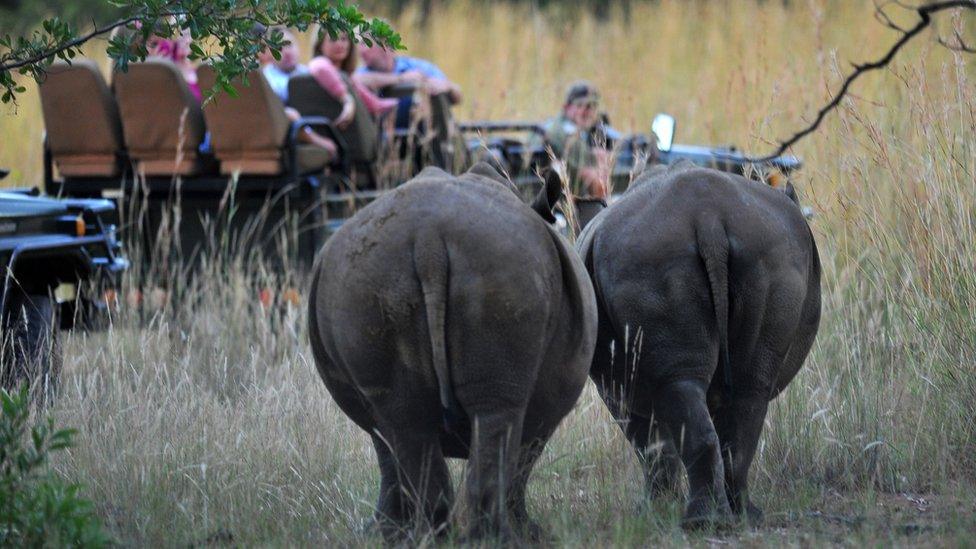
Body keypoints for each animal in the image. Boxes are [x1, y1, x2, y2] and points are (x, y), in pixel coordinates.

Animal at [306, 162, 596, 540]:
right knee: (497, 412)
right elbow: (524, 457)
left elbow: (386, 453)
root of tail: (428, 237)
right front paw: (531, 532)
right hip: (502, 267)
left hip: (369, 279)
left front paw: (383, 531)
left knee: (405, 419)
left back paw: (434, 535)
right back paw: (495, 537)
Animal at [580, 163, 824, 528]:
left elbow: (648, 441)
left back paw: (703, 522)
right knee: (750, 389)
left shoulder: (615, 387)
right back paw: (741, 516)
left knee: (680, 387)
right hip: (768, 253)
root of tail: (708, 217)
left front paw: (653, 509)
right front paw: (659, 508)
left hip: (648, 256)